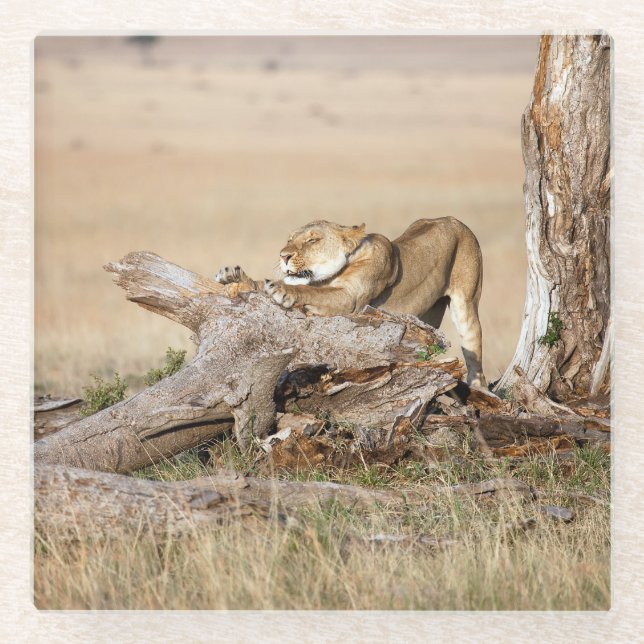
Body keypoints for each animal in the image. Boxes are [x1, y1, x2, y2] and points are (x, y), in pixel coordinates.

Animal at [215, 217, 486, 386]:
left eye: (312, 240)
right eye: (290, 239)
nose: (283, 256)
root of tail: (452, 219)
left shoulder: (351, 299)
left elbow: (309, 292)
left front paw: (281, 290)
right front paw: (233, 276)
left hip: (467, 305)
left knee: (475, 357)